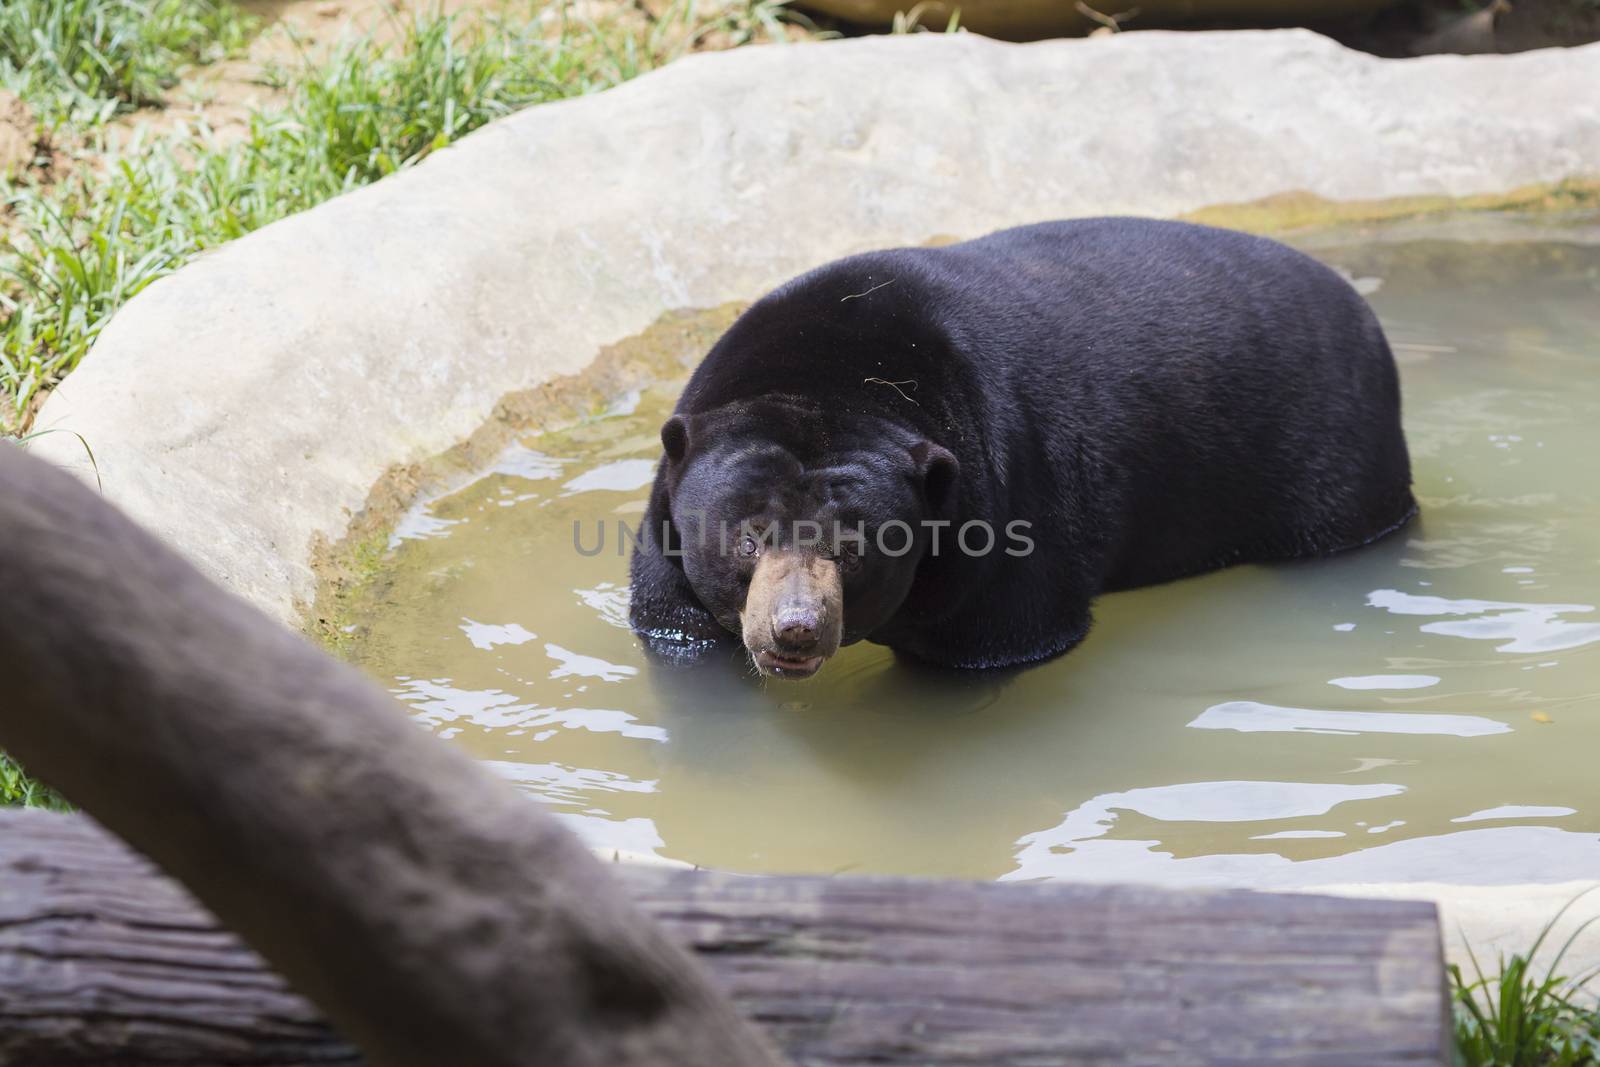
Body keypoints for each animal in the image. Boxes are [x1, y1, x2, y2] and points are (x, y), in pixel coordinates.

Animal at [624, 219, 1414, 675]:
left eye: (855, 549)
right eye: (748, 537)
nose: (795, 629)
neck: (836, 375)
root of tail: (1363, 311)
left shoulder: (1005, 495)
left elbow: (1001, 634)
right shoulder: (666, 524)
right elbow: (674, 624)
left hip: (1333, 448)